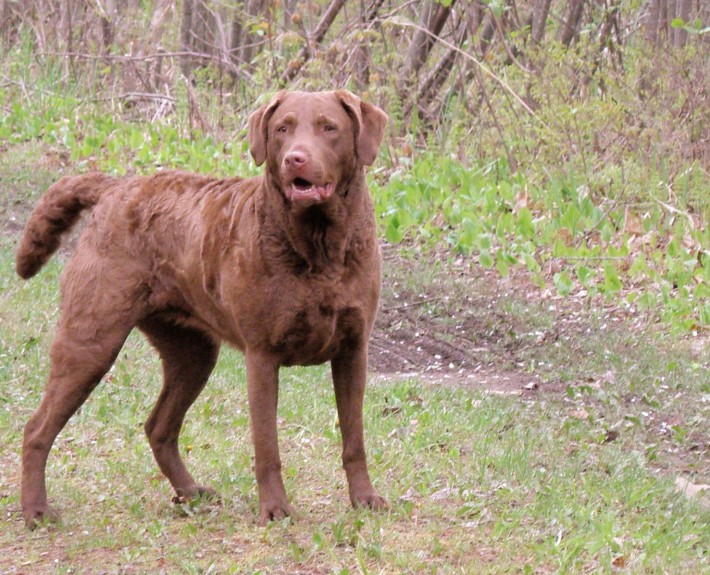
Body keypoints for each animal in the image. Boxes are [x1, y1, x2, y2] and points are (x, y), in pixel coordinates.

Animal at [15, 89, 390, 532]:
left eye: (329, 127)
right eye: (283, 129)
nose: (295, 159)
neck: (319, 249)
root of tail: (115, 187)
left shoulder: (353, 350)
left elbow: (355, 438)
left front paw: (364, 498)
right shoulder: (262, 355)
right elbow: (267, 445)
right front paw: (275, 509)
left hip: (192, 352)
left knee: (158, 426)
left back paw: (190, 492)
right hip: (91, 339)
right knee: (37, 428)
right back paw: (36, 510)